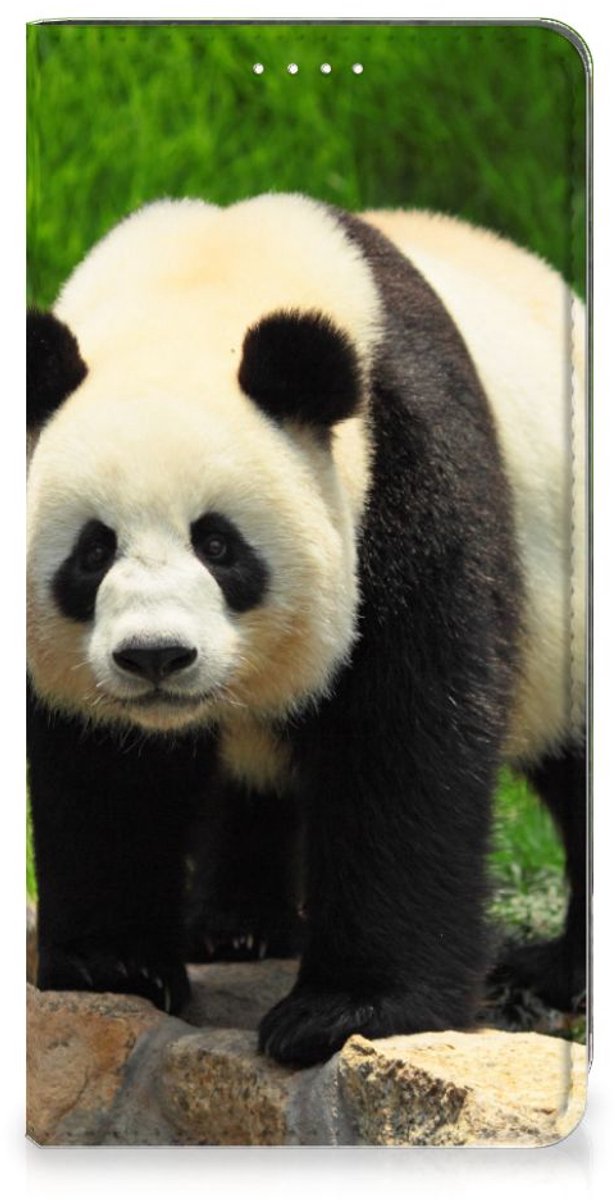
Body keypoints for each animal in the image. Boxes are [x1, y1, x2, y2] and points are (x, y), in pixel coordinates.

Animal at [26, 193, 586, 1066]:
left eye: (218, 544)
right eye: (92, 551)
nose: (156, 657)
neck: (200, 287)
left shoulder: (406, 472)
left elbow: (402, 739)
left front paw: (347, 1010)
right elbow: (102, 767)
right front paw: (111, 966)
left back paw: (557, 973)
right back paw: (234, 927)